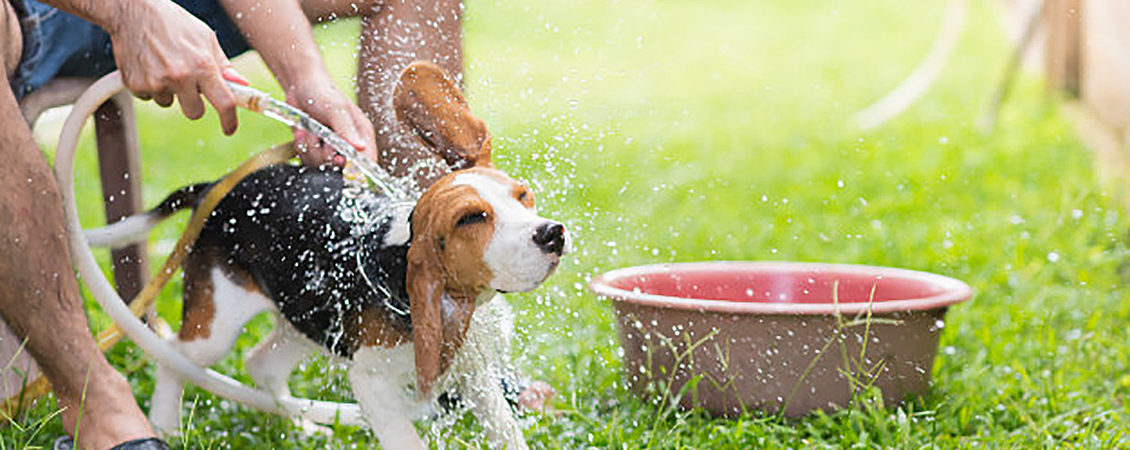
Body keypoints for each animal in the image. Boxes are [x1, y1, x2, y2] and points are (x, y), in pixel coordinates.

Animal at [90, 61, 565, 447]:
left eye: (523, 196)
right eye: (470, 218)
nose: (552, 234)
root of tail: (218, 189)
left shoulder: (476, 376)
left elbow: (506, 431)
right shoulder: (372, 383)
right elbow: (406, 437)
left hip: (305, 318)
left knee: (260, 364)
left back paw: (303, 429)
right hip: (217, 322)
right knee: (173, 355)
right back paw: (164, 424)